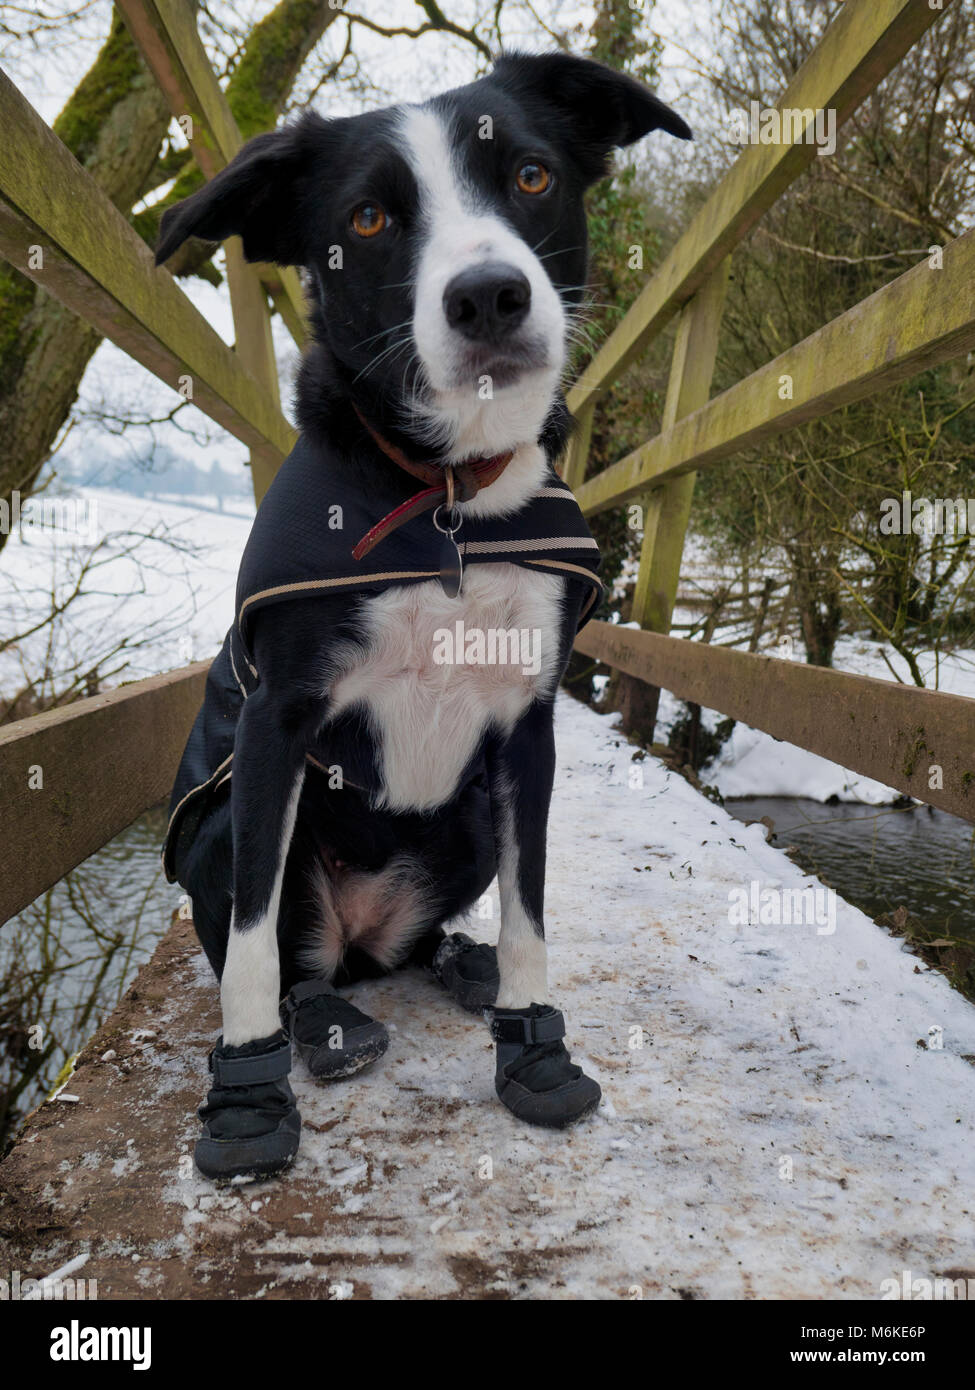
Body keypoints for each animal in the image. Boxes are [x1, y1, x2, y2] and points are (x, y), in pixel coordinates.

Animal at [157, 56, 684, 1184]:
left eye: (530, 174)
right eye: (365, 218)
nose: (488, 294)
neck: (447, 499)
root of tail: (360, 939)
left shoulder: (527, 730)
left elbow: (531, 917)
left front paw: (533, 1045)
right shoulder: (277, 723)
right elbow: (251, 952)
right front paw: (245, 1099)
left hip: (468, 821)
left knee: (417, 938)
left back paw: (455, 958)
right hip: (226, 829)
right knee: (299, 964)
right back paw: (323, 1023)